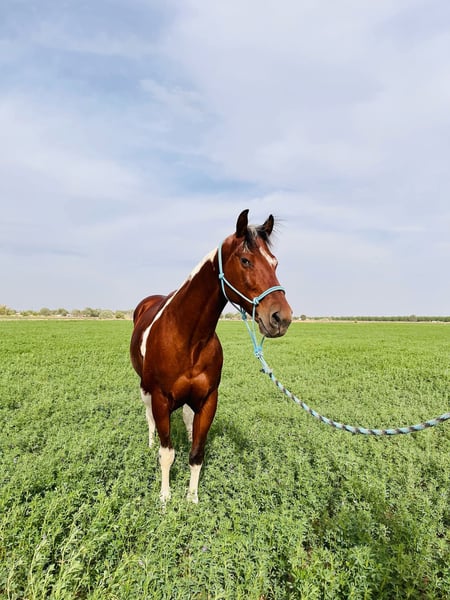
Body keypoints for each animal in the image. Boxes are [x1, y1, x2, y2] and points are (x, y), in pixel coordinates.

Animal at [130, 209, 292, 503]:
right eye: (245, 260)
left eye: (275, 263)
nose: (280, 317)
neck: (188, 339)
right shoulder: (160, 399)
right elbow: (166, 453)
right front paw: (164, 498)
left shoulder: (208, 400)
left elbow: (196, 453)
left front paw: (192, 499)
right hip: (144, 387)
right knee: (148, 418)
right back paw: (149, 442)